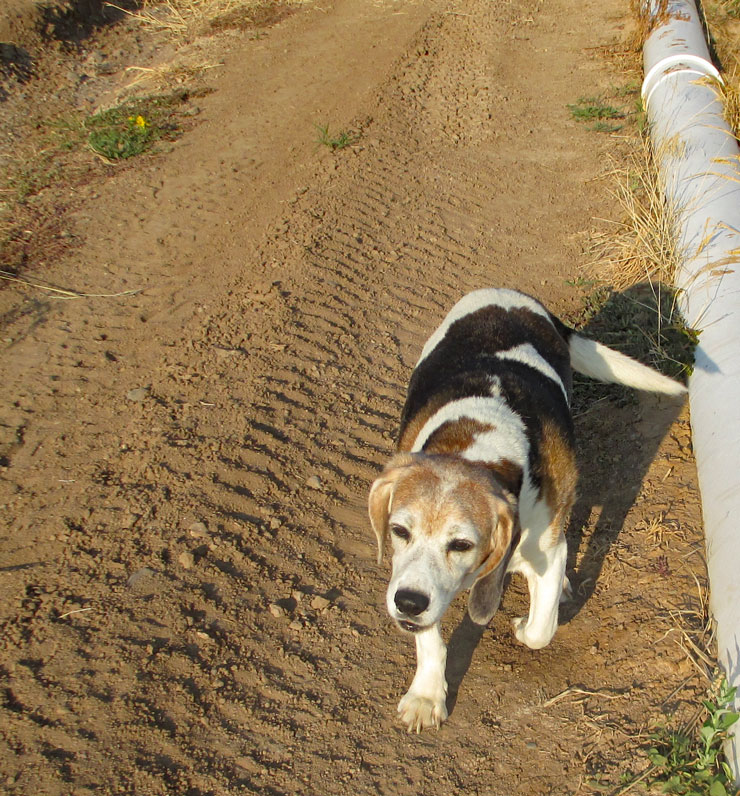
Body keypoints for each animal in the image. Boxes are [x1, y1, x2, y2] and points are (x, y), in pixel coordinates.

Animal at [368, 288, 686, 733]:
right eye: (399, 531)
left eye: (461, 544)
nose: (408, 604)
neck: (478, 445)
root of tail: (508, 294)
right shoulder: (413, 581)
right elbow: (430, 640)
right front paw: (427, 695)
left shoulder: (547, 550)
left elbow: (540, 630)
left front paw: (523, 623)